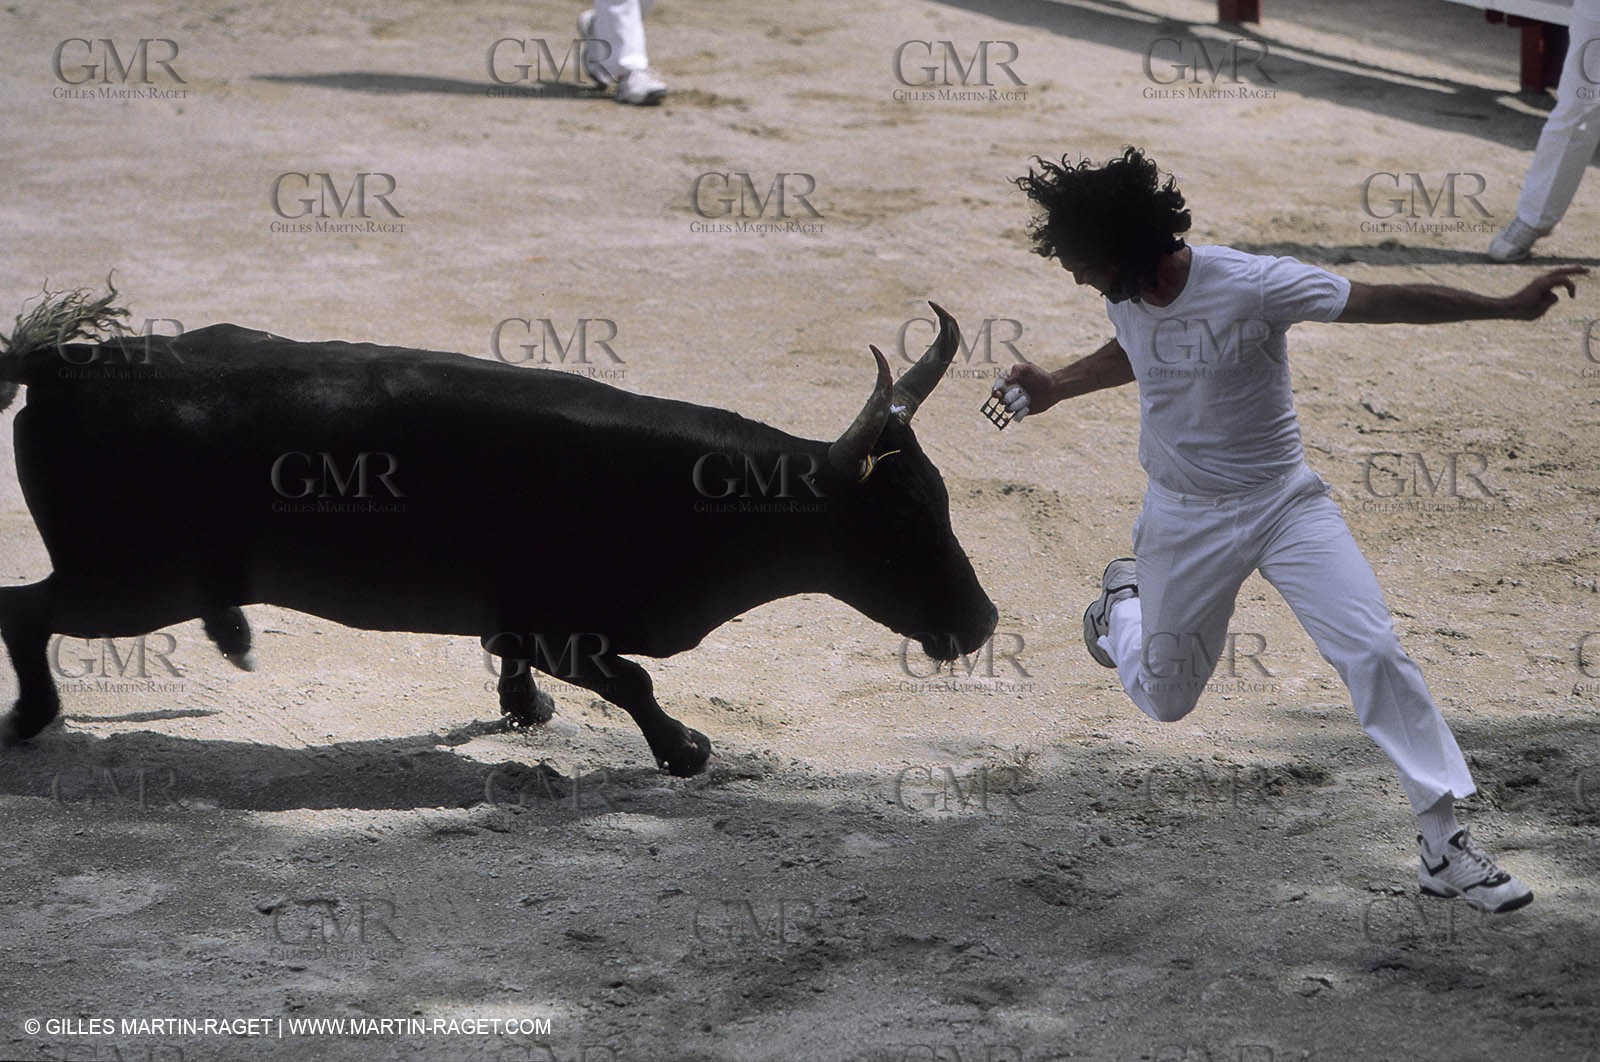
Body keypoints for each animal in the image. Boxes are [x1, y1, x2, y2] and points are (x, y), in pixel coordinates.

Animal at [0, 284, 997, 775]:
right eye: (897, 522)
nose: (985, 623)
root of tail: (60, 361)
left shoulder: (519, 613)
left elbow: (522, 658)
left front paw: (525, 709)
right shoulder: (568, 627)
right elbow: (632, 681)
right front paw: (685, 752)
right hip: (127, 581)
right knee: (25, 608)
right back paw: (31, 720)